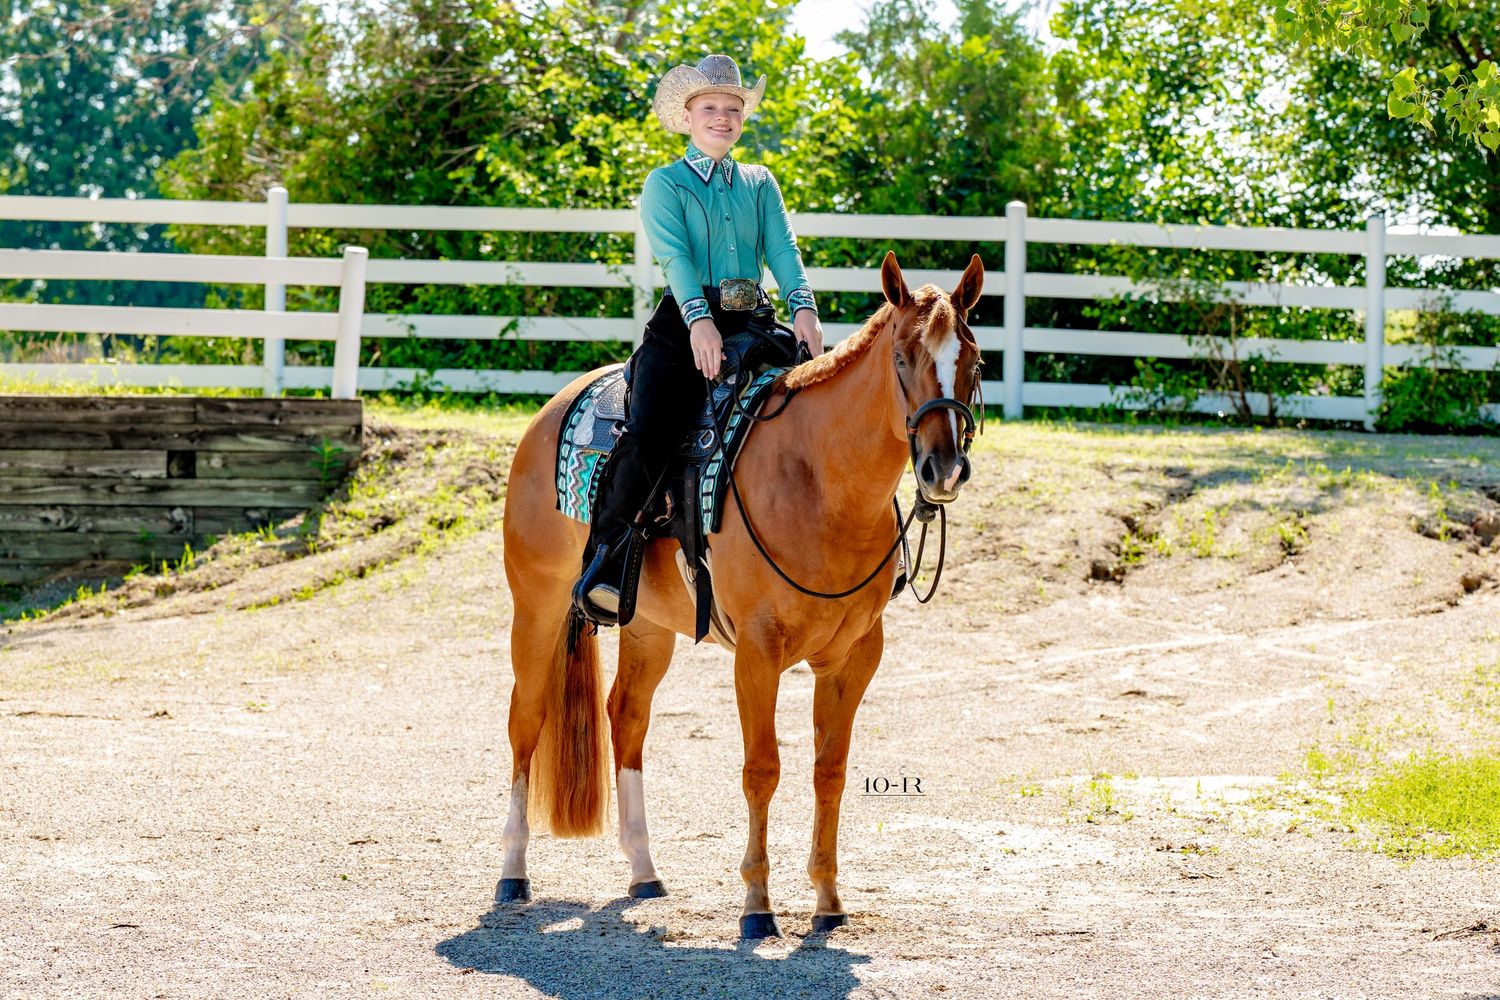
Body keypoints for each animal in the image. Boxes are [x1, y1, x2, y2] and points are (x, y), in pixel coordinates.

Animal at [498, 251, 983, 938]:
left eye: (974, 362)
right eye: (902, 357)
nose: (944, 469)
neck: (817, 481)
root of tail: (553, 409)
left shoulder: (855, 657)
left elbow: (829, 770)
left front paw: (827, 900)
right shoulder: (757, 653)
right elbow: (763, 769)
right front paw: (758, 906)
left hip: (646, 625)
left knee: (627, 717)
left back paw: (644, 870)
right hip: (536, 607)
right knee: (526, 721)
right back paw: (512, 871)